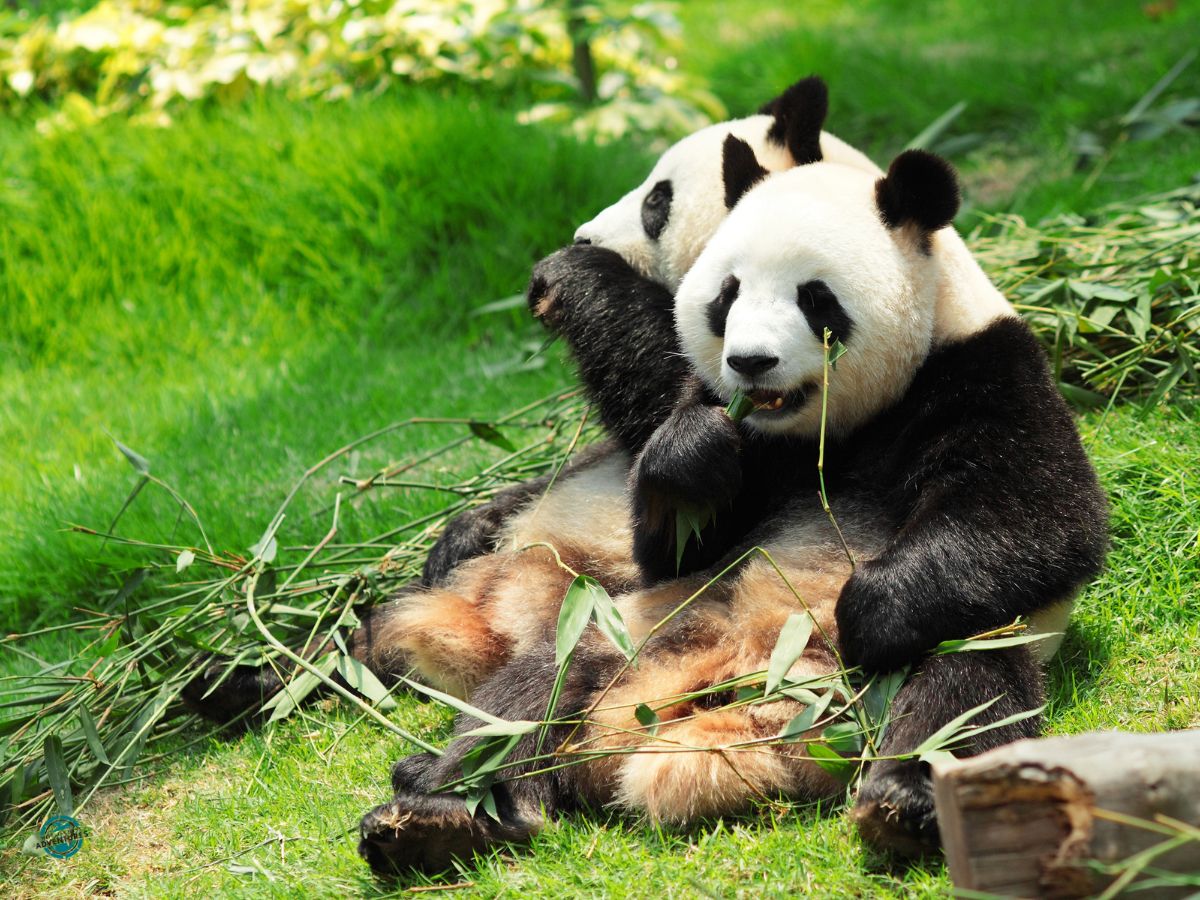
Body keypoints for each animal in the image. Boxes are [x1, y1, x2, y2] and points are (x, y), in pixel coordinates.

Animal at [356, 148, 1109, 873]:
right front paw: (694, 454)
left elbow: (1040, 522)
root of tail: (749, 692)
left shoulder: (983, 370)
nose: (750, 362)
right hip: (633, 626)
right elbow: (676, 537)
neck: (827, 430)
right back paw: (441, 815)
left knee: (964, 693)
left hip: (950, 650)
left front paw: (865, 609)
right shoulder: (732, 432)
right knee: (532, 694)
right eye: (727, 293)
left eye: (815, 297)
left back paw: (905, 803)